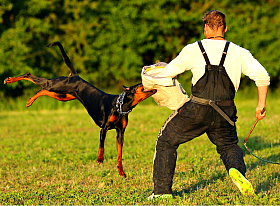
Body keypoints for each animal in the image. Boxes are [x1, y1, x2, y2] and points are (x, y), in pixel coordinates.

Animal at [3, 41, 158, 177]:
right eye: (140, 84)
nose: (151, 82)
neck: (121, 106)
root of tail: (75, 75)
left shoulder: (120, 133)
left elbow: (120, 155)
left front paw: (121, 172)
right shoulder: (104, 128)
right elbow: (101, 146)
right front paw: (100, 159)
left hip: (62, 95)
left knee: (43, 90)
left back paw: (30, 100)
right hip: (57, 85)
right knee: (31, 76)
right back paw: (10, 80)